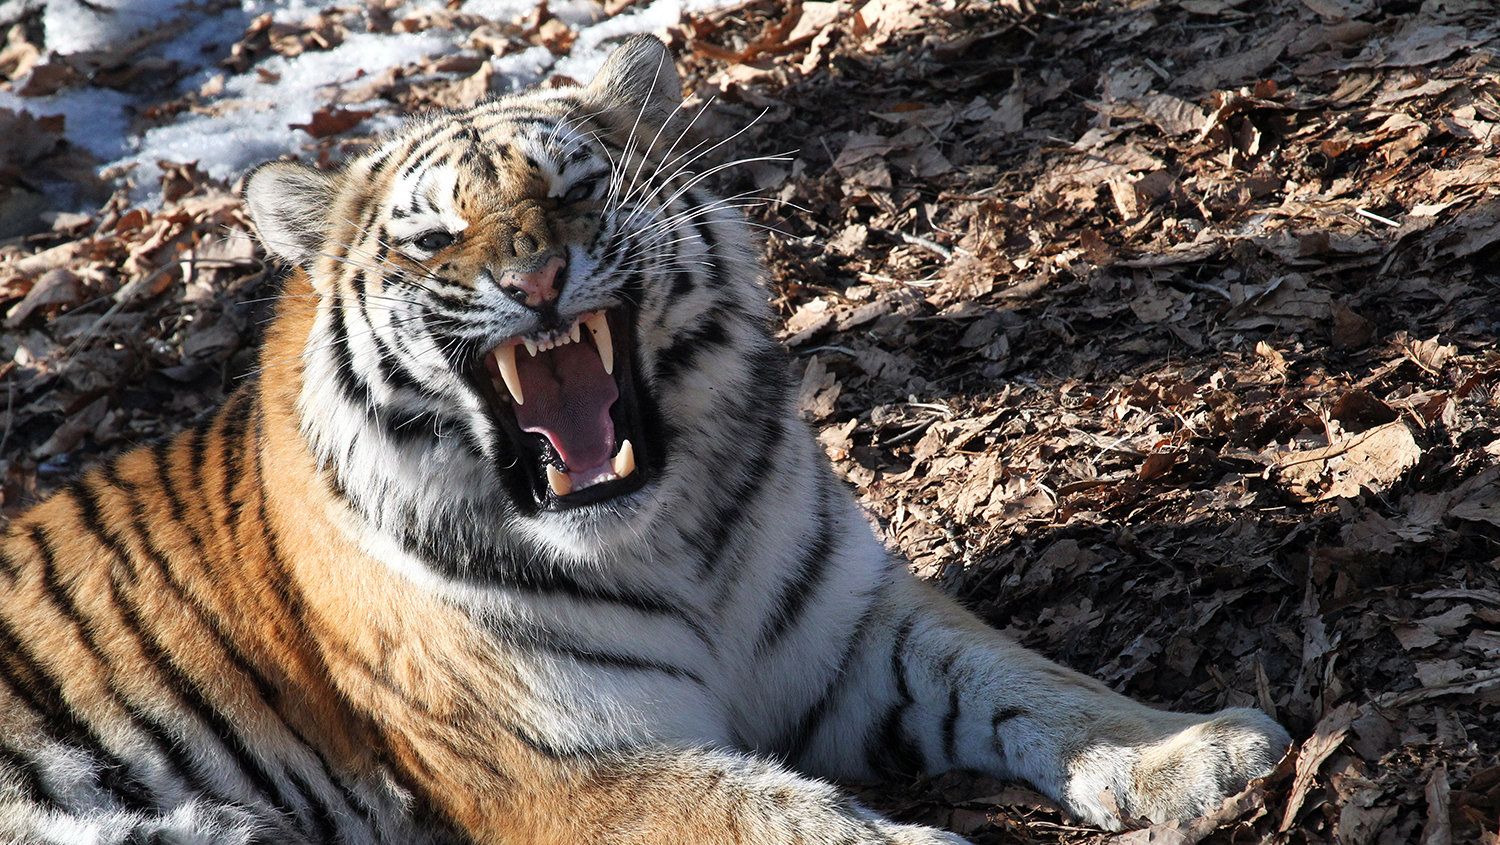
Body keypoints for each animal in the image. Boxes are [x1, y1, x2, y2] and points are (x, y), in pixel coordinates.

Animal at [0, 36, 1291, 845]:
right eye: (434, 239)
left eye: (574, 190)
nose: (535, 279)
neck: (668, 538)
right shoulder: (560, 770)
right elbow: (778, 811)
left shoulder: (846, 632)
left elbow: (1032, 677)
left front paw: (1203, 750)